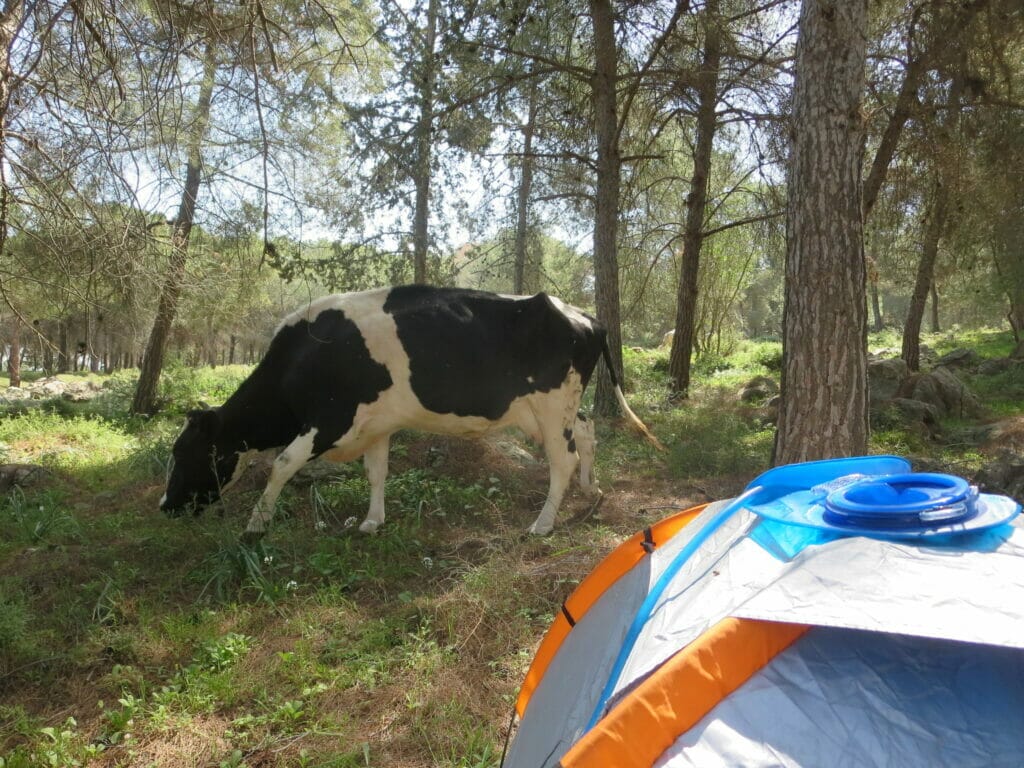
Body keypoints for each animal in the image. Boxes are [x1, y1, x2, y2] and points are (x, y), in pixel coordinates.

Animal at [155, 286, 659, 536]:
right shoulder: (373, 425)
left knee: (562, 459)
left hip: (551, 407)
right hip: (550, 410)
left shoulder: (329, 421)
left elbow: (280, 465)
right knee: (587, 434)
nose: (164, 507)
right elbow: (377, 472)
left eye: (183, 454)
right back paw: (591, 491)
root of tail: (585, 315)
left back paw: (542, 524)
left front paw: (255, 526)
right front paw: (371, 522)